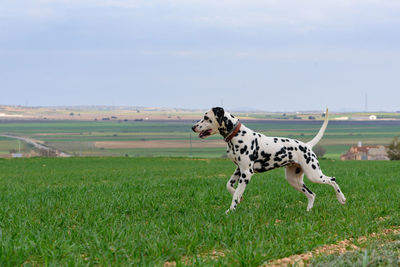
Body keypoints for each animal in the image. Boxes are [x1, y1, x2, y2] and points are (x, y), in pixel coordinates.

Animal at [192, 108, 346, 215]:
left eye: (206, 117)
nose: (193, 127)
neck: (237, 135)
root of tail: (307, 145)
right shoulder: (239, 170)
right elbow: (229, 186)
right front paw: (238, 197)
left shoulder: (246, 173)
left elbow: (235, 195)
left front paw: (230, 210)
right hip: (294, 180)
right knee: (312, 194)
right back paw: (308, 211)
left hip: (314, 174)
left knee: (332, 180)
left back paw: (341, 198)